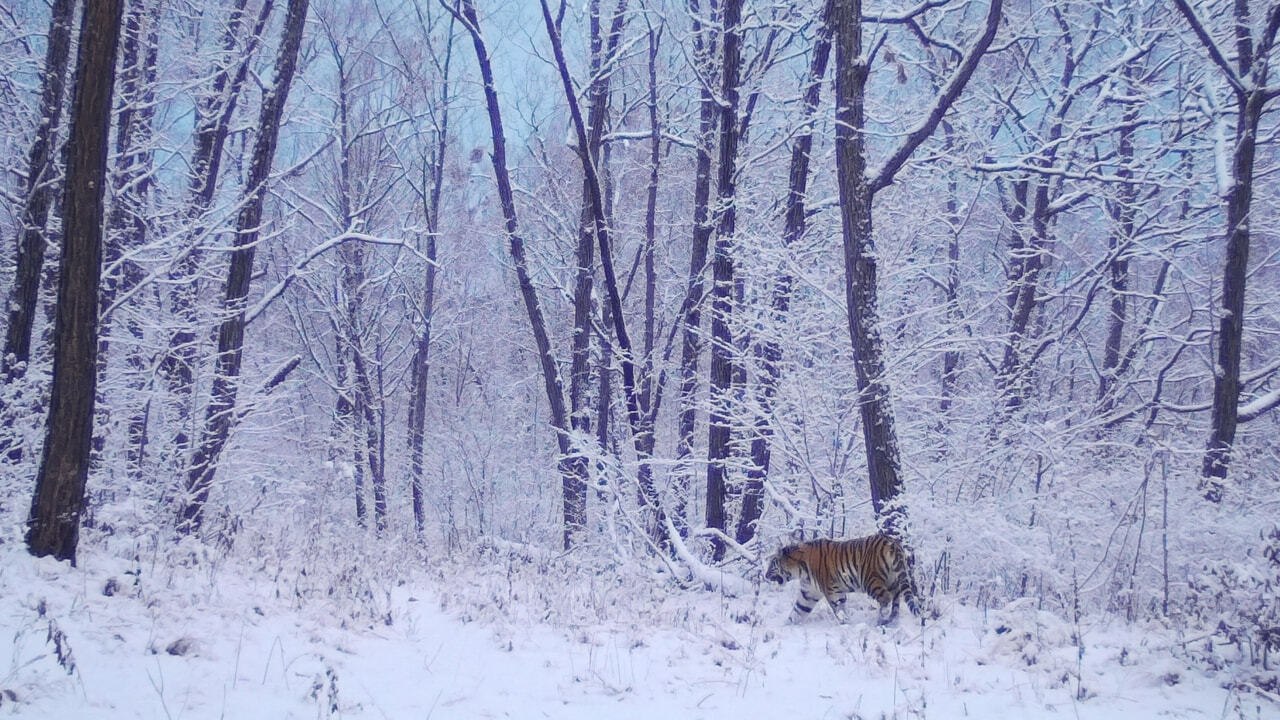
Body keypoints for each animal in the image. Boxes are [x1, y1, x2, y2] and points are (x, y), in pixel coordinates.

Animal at [762, 530, 926, 625]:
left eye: (772, 564)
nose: (765, 575)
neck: (800, 570)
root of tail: (893, 542)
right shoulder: (808, 593)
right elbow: (798, 610)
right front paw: (787, 625)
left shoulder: (833, 592)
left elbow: (839, 609)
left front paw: (846, 623)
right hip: (894, 580)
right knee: (896, 603)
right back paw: (891, 621)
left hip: (870, 580)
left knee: (885, 598)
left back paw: (880, 620)